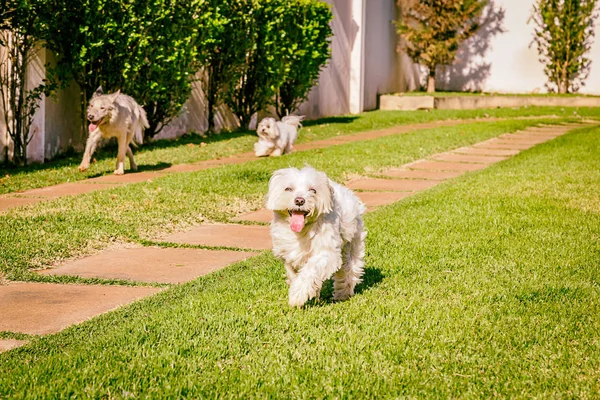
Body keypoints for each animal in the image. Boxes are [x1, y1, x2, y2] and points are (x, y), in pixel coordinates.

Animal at [266, 167, 366, 308]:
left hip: (352, 244)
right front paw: (308, 293)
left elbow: (310, 272)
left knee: (348, 269)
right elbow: (295, 274)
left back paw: (343, 294)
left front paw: (297, 296)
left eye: (313, 190)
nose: (299, 200)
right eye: (288, 189)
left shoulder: (326, 253)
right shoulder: (289, 255)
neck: (302, 231)